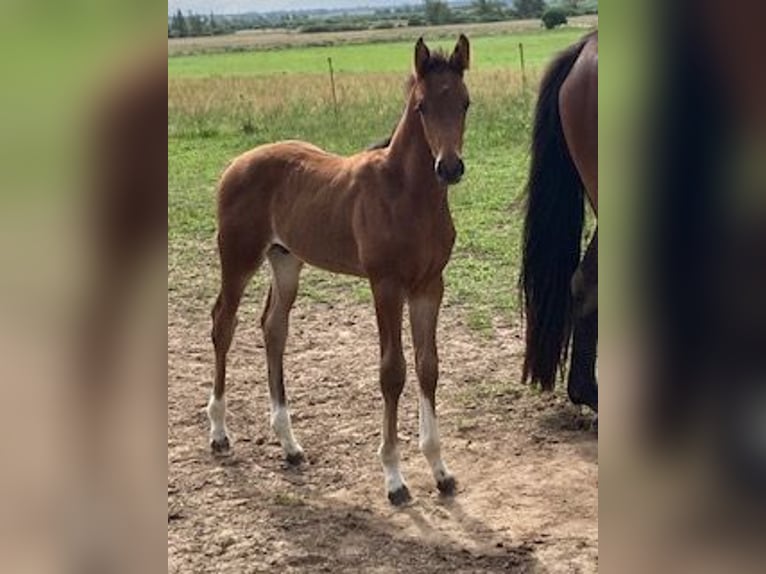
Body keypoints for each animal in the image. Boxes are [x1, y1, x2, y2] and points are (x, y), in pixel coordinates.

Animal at [207, 36, 472, 506]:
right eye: (422, 106)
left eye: (465, 103)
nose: (449, 167)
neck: (406, 194)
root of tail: (235, 163)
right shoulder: (385, 284)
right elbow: (392, 372)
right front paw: (394, 479)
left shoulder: (429, 285)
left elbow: (428, 366)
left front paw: (440, 471)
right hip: (238, 256)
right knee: (224, 322)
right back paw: (219, 433)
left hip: (285, 259)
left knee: (273, 327)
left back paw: (290, 445)